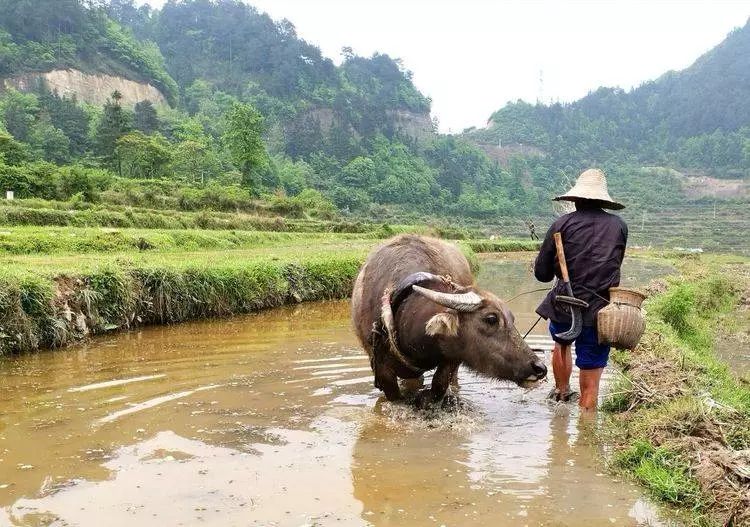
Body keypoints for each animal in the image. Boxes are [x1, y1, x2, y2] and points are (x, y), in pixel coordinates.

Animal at [352, 234, 548, 404]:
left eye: (512, 319)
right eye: (491, 318)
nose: (540, 368)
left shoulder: (453, 356)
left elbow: (439, 385)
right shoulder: (382, 371)